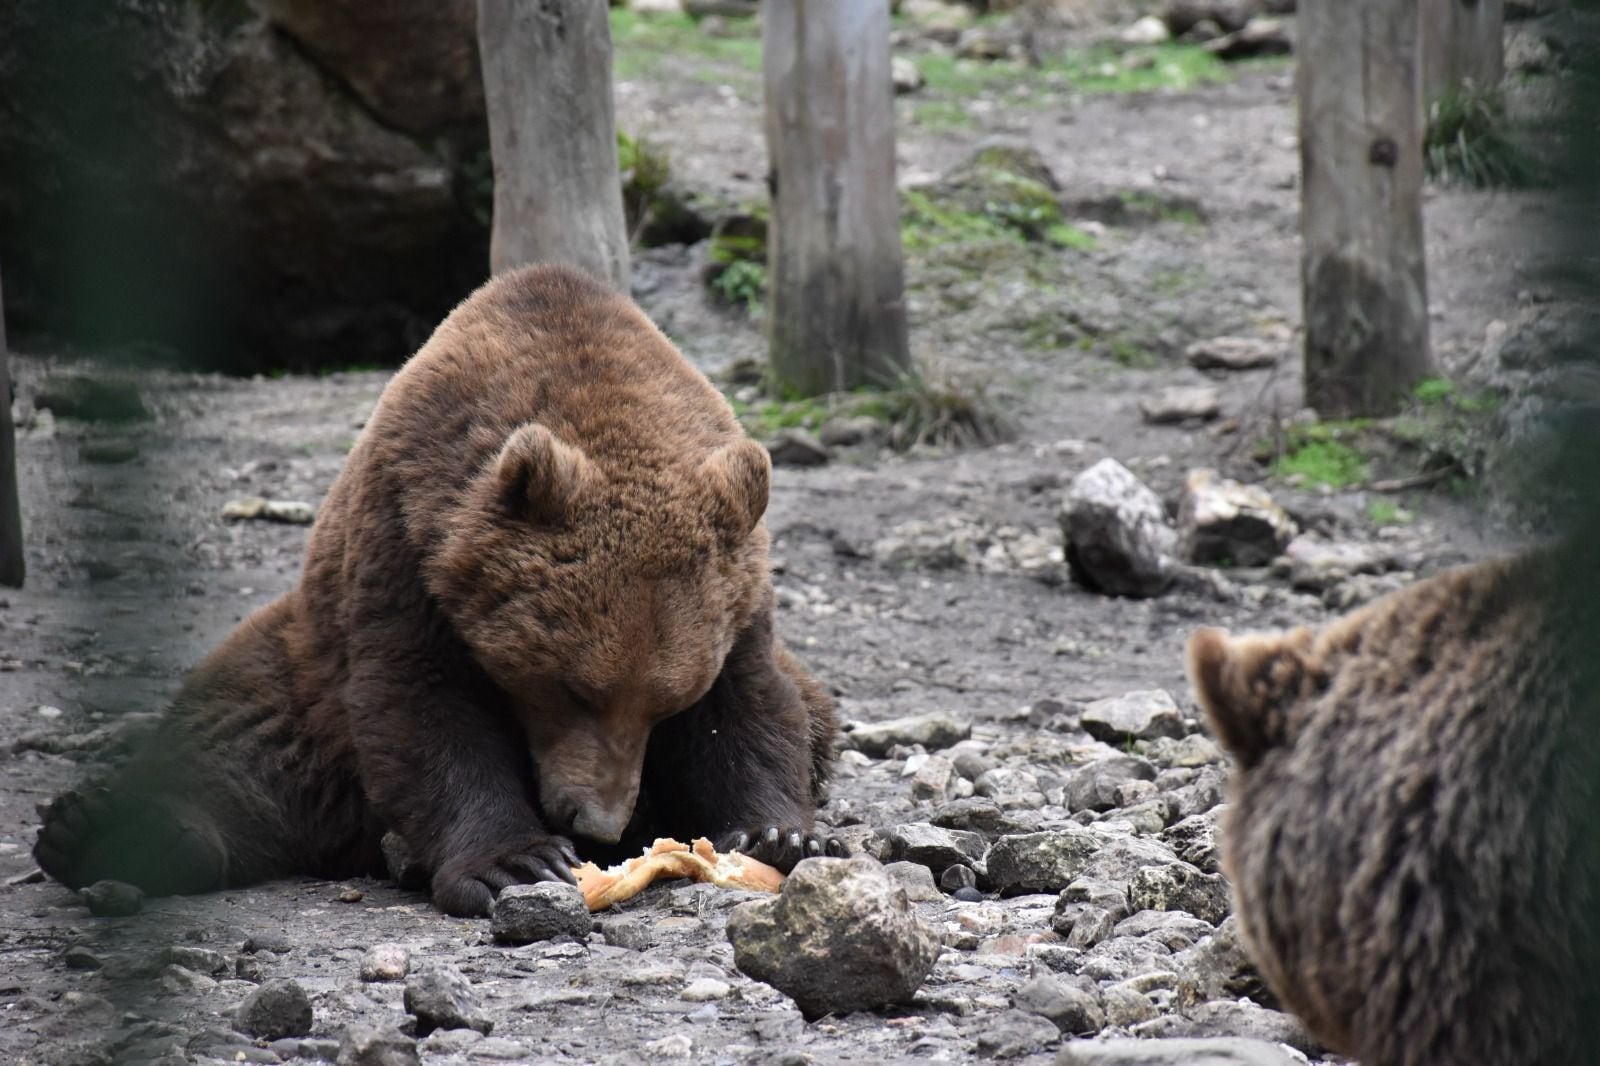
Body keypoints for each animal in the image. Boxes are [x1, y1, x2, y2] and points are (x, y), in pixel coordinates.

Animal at [31, 264, 844, 915]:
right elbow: (423, 707)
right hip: (304, 681)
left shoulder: (738, 597)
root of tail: (360, 838)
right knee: (235, 736)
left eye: (667, 702)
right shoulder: (409, 547)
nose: (598, 823)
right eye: (573, 687)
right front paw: (516, 862)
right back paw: (107, 830)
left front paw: (777, 834)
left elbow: (754, 708)